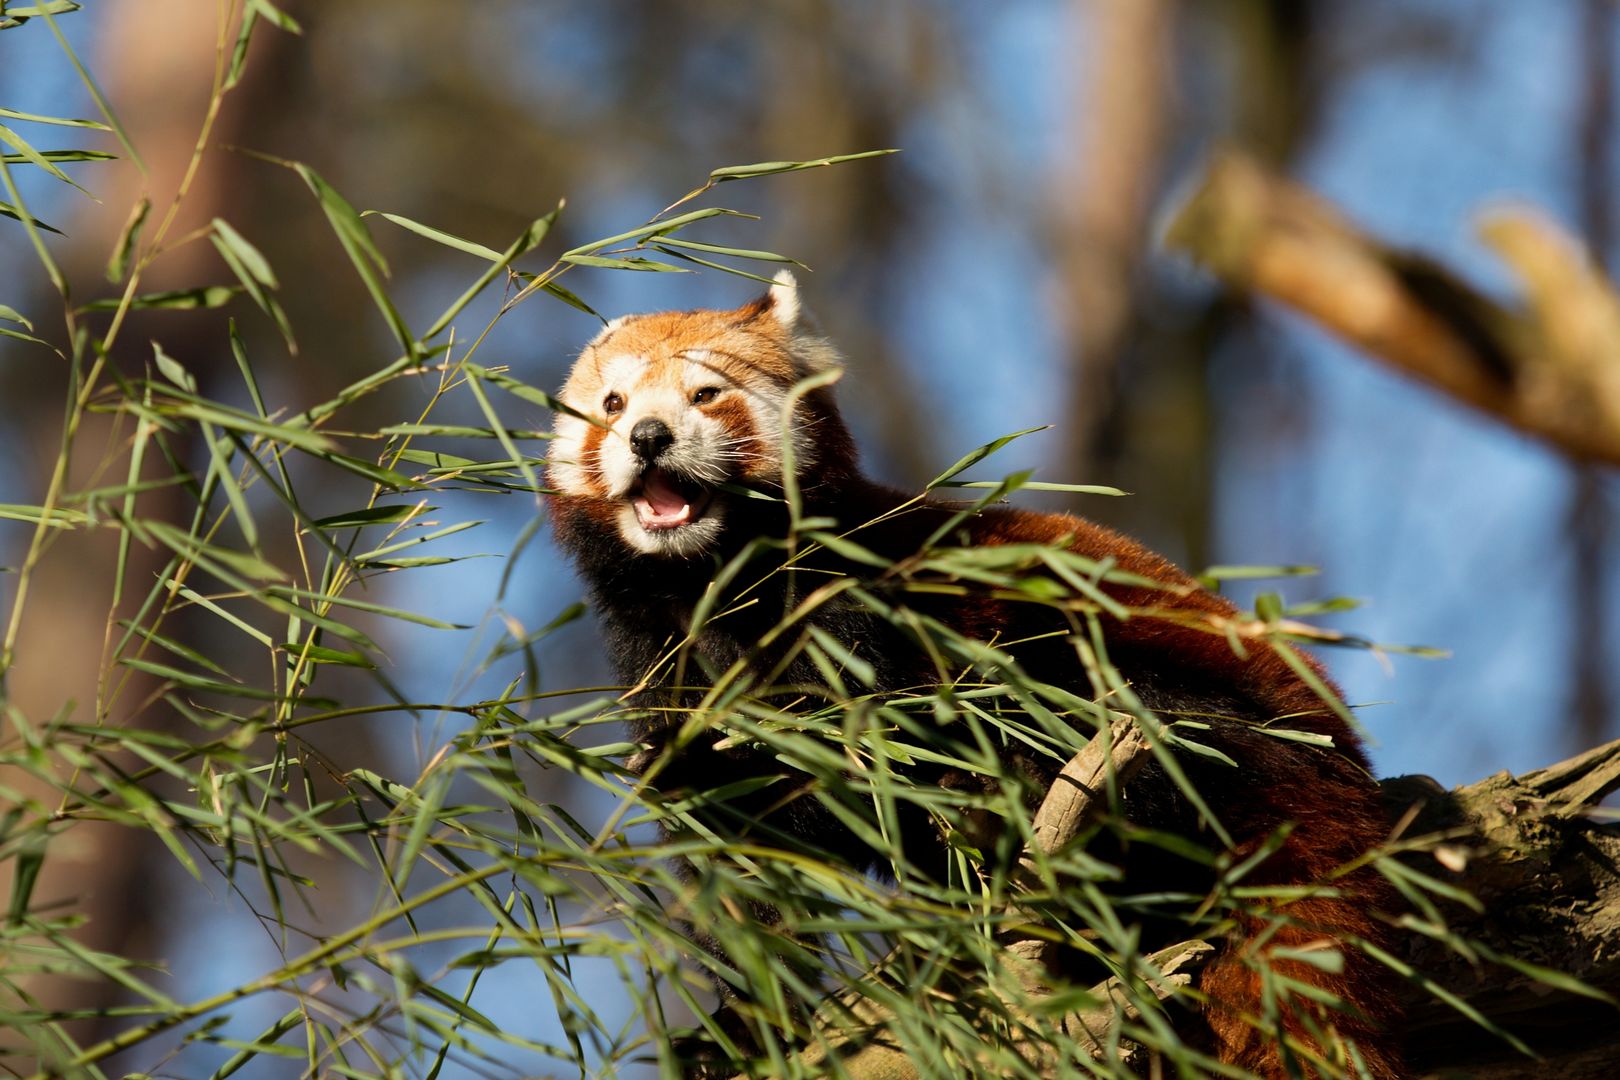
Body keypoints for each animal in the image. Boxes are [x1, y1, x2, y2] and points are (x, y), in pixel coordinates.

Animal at [547, 270, 1406, 1075]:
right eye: (613, 403)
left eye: (705, 394)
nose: (648, 436)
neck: (715, 587)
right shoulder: (662, 666)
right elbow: (736, 862)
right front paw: (742, 1029)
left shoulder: (861, 616)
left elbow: (880, 767)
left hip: (1174, 703)